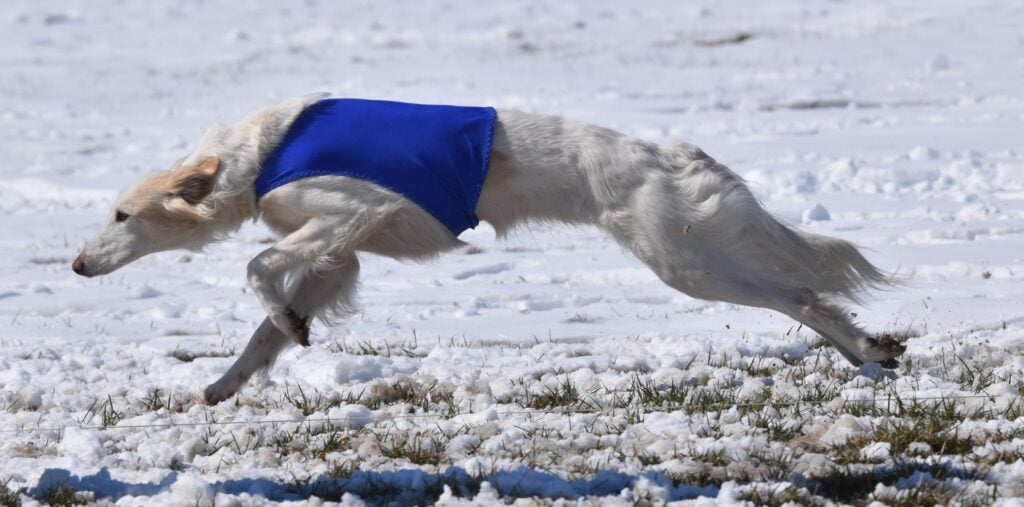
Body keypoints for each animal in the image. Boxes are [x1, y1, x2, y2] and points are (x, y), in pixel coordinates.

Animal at [72, 94, 905, 405]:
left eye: (121, 213)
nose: (76, 264)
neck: (259, 155)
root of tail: (670, 153)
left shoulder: (350, 211)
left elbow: (256, 268)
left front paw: (280, 323)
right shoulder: (342, 257)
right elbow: (268, 325)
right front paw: (227, 380)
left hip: (685, 260)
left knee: (800, 295)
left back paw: (867, 345)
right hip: (691, 254)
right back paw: (868, 350)